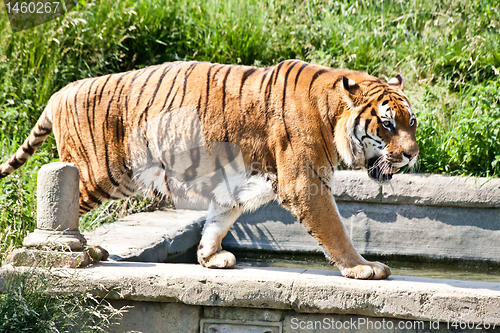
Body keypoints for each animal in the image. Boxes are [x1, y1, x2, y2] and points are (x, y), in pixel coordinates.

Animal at [0, 59, 418, 278]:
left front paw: (209, 258)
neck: (331, 114)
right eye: (386, 125)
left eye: (411, 122)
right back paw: (58, 250)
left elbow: (218, 221)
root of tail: (60, 92)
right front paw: (363, 268)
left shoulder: (236, 186)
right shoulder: (305, 184)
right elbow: (336, 230)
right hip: (98, 174)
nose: (412, 155)